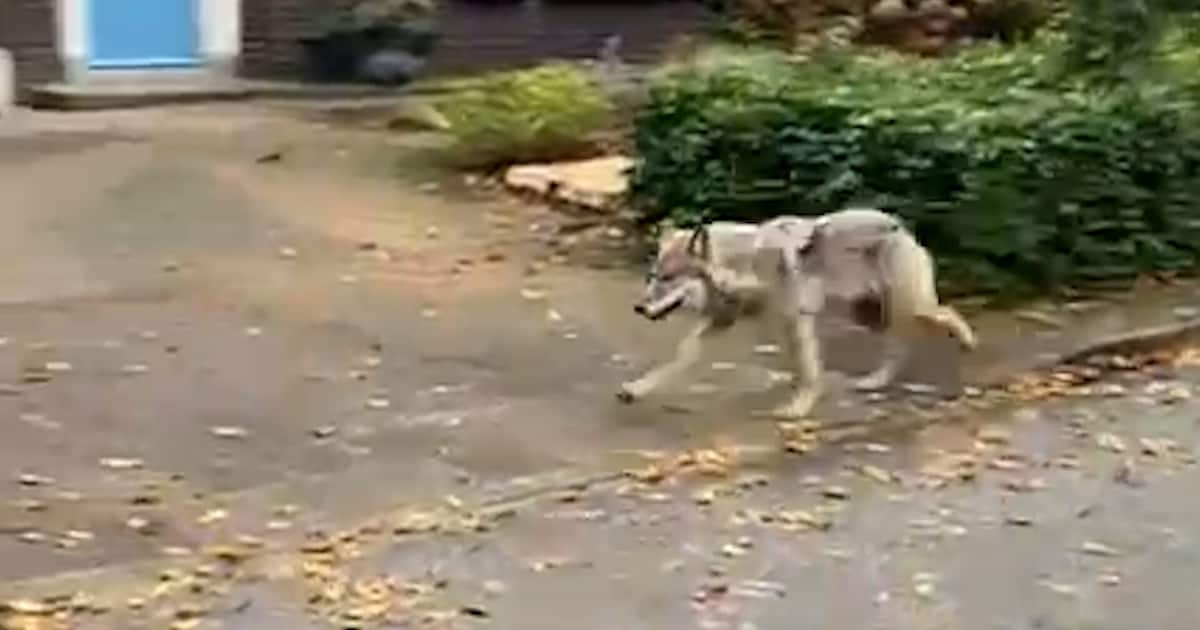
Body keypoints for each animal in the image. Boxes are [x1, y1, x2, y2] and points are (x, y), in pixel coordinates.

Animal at [620, 206, 978, 419]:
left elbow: (808, 370)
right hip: (869, 315)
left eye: (669, 279)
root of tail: (899, 226)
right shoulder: (727, 321)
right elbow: (679, 357)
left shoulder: (795, 321)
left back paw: (967, 342)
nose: (638, 307)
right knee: (901, 343)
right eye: (652, 277)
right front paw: (637, 388)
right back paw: (874, 381)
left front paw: (799, 407)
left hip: (901, 308)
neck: (745, 265)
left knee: (942, 313)